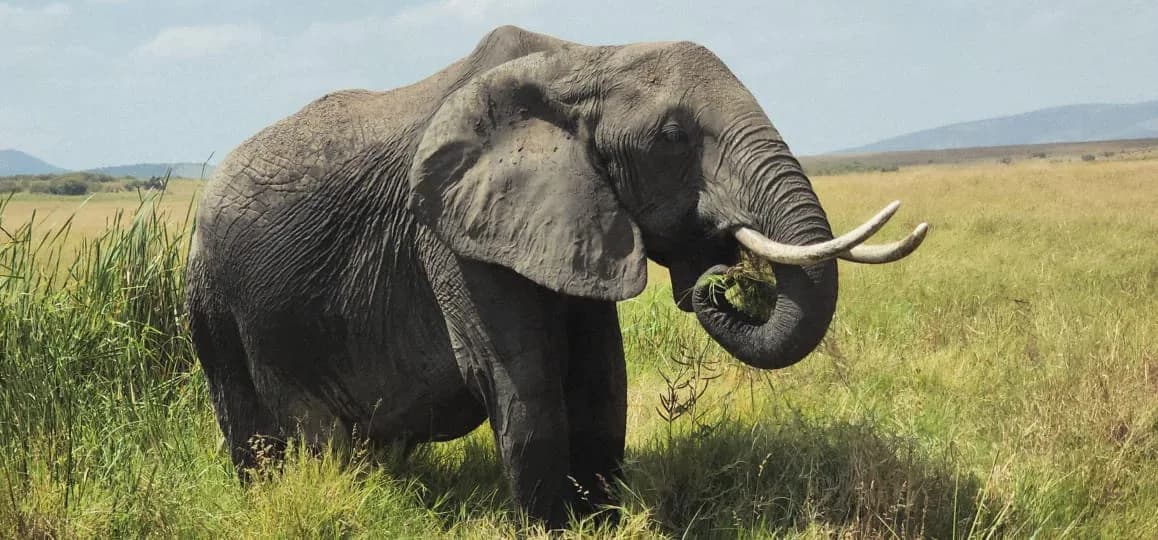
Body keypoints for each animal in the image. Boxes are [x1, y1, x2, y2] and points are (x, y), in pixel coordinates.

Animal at [184, 25, 927, 527]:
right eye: (673, 138)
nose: (719, 278)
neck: (585, 59)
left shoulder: (573, 219)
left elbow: (601, 381)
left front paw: (599, 522)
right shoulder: (452, 234)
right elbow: (527, 382)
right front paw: (549, 530)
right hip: (214, 305)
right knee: (260, 436)